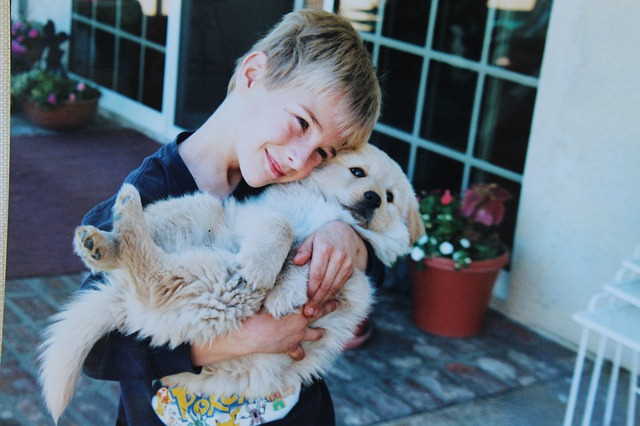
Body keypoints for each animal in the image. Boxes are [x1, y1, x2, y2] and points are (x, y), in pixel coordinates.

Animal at [37, 144, 422, 422]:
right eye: (357, 172)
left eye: (390, 197)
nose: (373, 198)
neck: (329, 212)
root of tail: (121, 301)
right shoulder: (261, 215)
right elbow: (282, 228)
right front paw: (267, 270)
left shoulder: (354, 277)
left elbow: (312, 263)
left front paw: (285, 291)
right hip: (204, 214)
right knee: (146, 255)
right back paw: (106, 232)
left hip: (214, 287)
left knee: (154, 280)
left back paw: (107, 239)